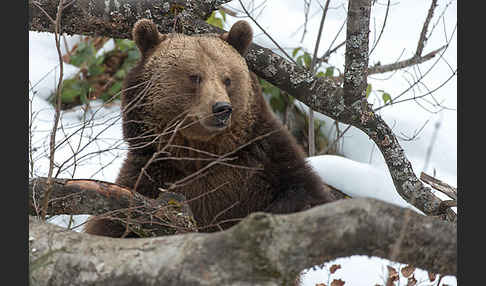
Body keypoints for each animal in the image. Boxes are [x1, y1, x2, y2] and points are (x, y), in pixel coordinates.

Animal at [84, 18, 334, 237]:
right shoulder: (149, 176)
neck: (201, 156)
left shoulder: (266, 162)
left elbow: (305, 197)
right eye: (195, 77)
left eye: (227, 78)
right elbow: (114, 225)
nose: (222, 108)